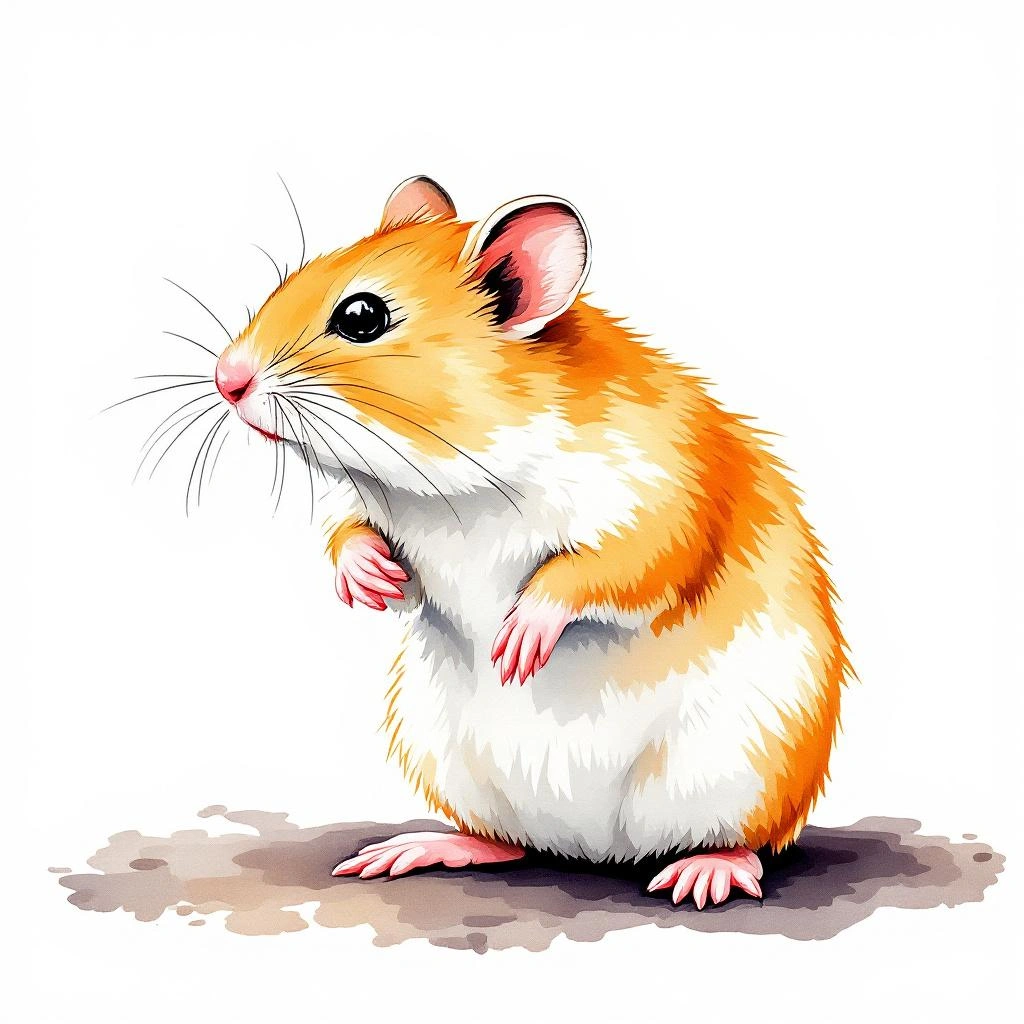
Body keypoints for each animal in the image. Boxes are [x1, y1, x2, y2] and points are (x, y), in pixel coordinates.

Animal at [211, 176, 850, 908]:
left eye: (363, 316)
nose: (226, 379)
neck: (450, 479)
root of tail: (595, 848)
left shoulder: (664, 505)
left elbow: (603, 567)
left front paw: (518, 643)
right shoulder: (387, 519)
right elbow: (353, 534)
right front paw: (368, 579)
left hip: (739, 764)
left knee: (741, 838)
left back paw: (705, 874)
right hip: (452, 761)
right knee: (508, 843)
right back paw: (419, 848)